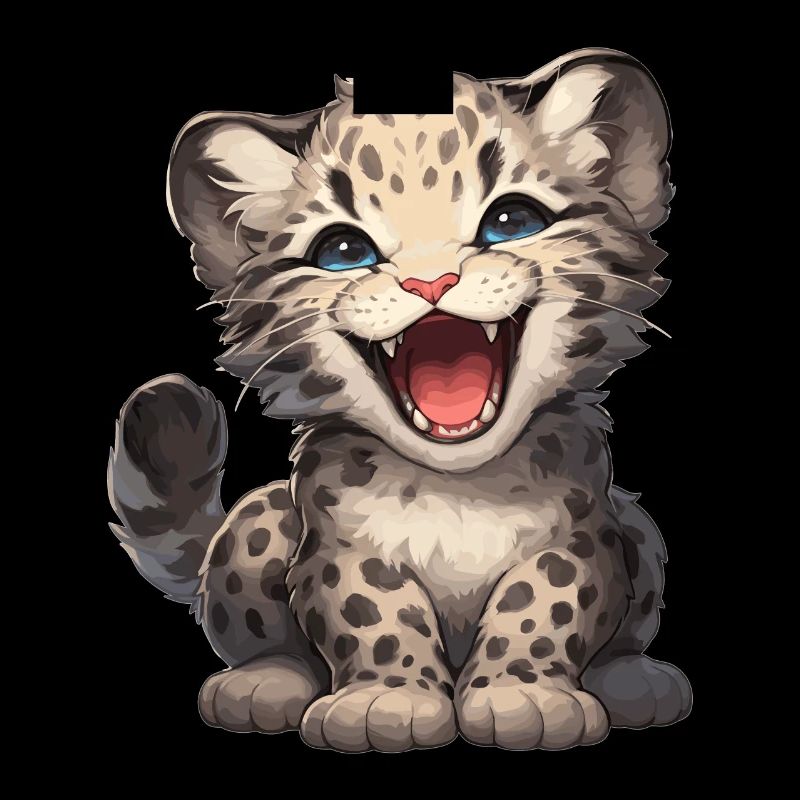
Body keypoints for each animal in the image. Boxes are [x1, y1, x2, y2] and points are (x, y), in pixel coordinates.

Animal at [108, 47, 692, 751]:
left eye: (512, 220)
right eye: (342, 251)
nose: (431, 281)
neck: (462, 488)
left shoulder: (580, 533)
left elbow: (543, 600)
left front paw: (519, 693)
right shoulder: (342, 546)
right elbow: (374, 611)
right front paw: (389, 701)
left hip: (637, 524)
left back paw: (635, 680)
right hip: (258, 520)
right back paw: (261, 683)